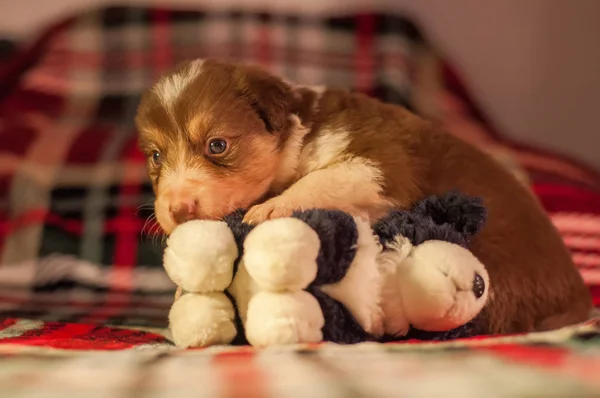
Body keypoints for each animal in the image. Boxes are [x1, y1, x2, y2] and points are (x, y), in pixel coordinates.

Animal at [135, 57, 592, 334]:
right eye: (155, 156)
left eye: (217, 145)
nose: (177, 210)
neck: (301, 134)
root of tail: (579, 297)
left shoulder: (379, 165)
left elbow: (322, 180)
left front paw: (270, 208)